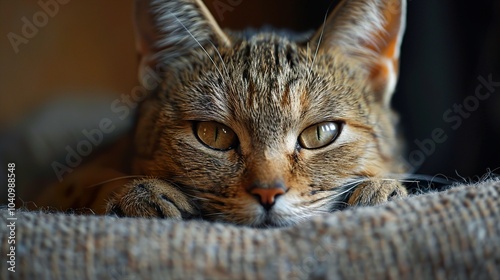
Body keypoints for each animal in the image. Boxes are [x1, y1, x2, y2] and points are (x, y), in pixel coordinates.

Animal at [35, 0, 410, 228]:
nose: (268, 193)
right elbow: (86, 183)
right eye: (214, 135)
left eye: (321, 134)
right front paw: (140, 193)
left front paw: (381, 189)